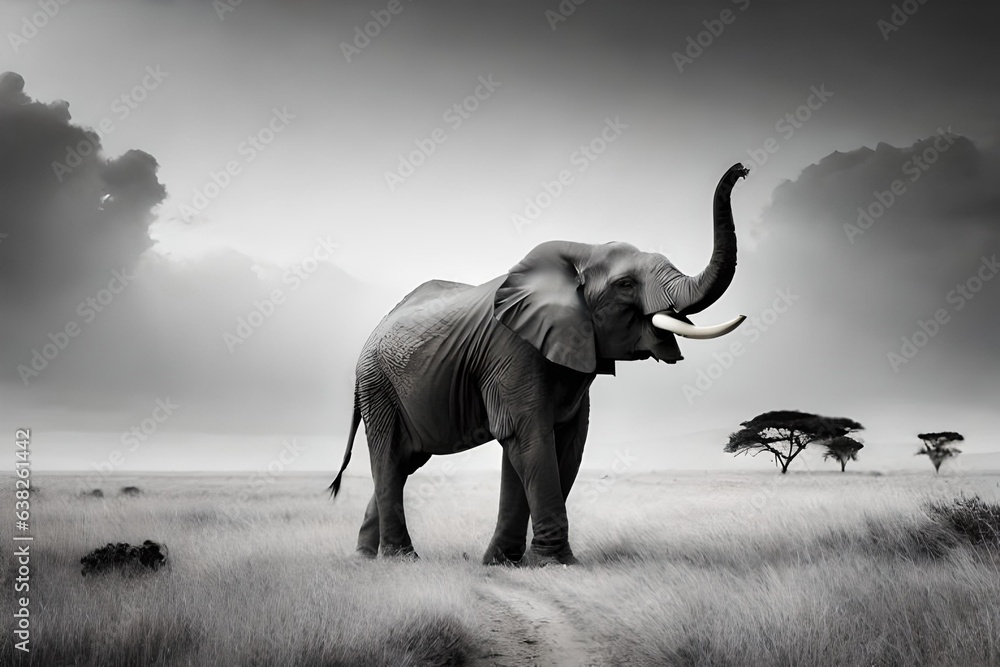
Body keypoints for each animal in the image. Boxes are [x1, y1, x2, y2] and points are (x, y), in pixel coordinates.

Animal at [330, 162, 750, 566]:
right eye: (626, 285)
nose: (741, 171)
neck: (582, 253)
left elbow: (563, 440)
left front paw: (502, 563)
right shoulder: (512, 349)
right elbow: (528, 435)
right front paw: (555, 564)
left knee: (403, 462)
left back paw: (367, 557)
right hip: (378, 385)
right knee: (389, 458)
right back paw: (402, 559)